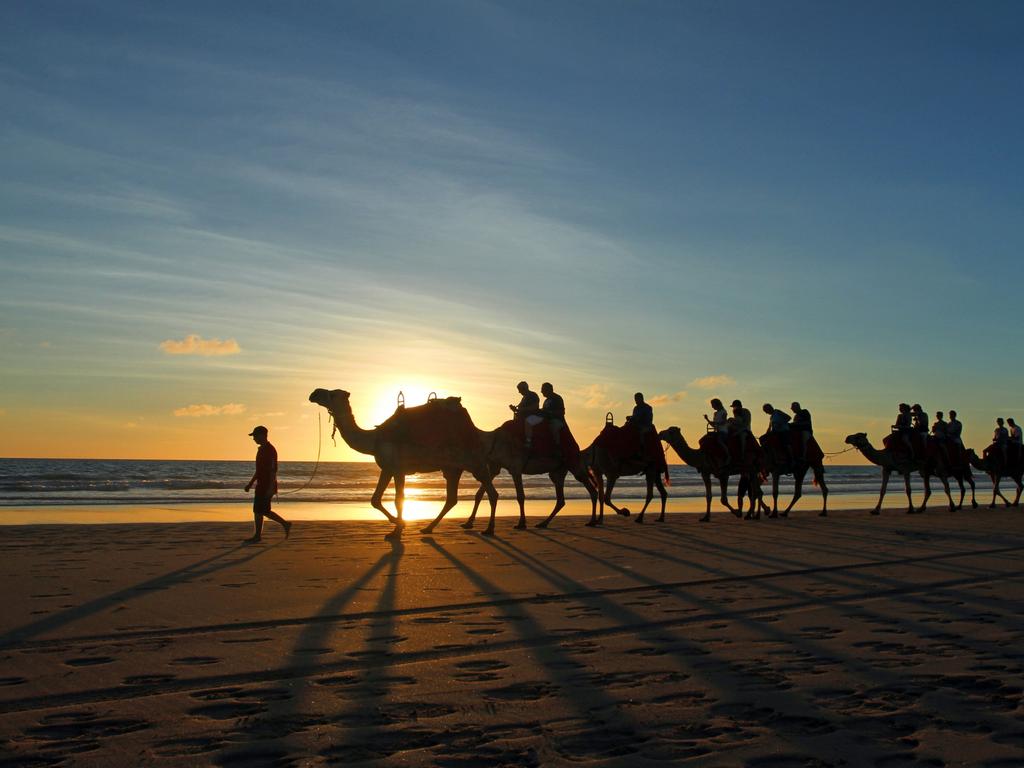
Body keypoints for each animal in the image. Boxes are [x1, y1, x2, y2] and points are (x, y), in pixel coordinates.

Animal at [309, 391, 497, 536]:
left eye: (333, 394)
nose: (314, 393)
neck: (374, 439)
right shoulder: (387, 468)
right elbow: (375, 499)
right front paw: (398, 524)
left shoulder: (399, 469)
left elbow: (398, 499)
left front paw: (397, 529)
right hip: (452, 468)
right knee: (452, 499)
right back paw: (428, 528)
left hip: (475, 461)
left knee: (492, 493)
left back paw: (488, 529)